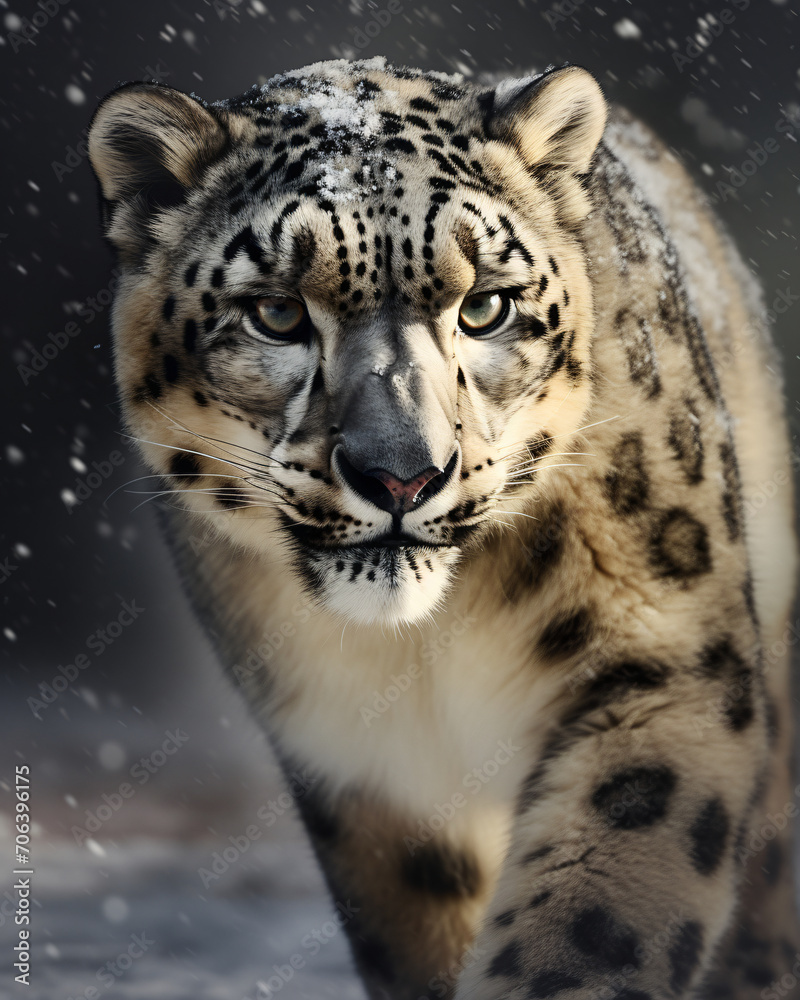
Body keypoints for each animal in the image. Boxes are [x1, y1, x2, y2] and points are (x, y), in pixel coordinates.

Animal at [87, 57, 800, 999]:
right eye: (276, 313)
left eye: (487, 306)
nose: (402, 474)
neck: (426, 648)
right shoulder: (368, 761)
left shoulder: (660, 661)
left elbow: (596, 922)